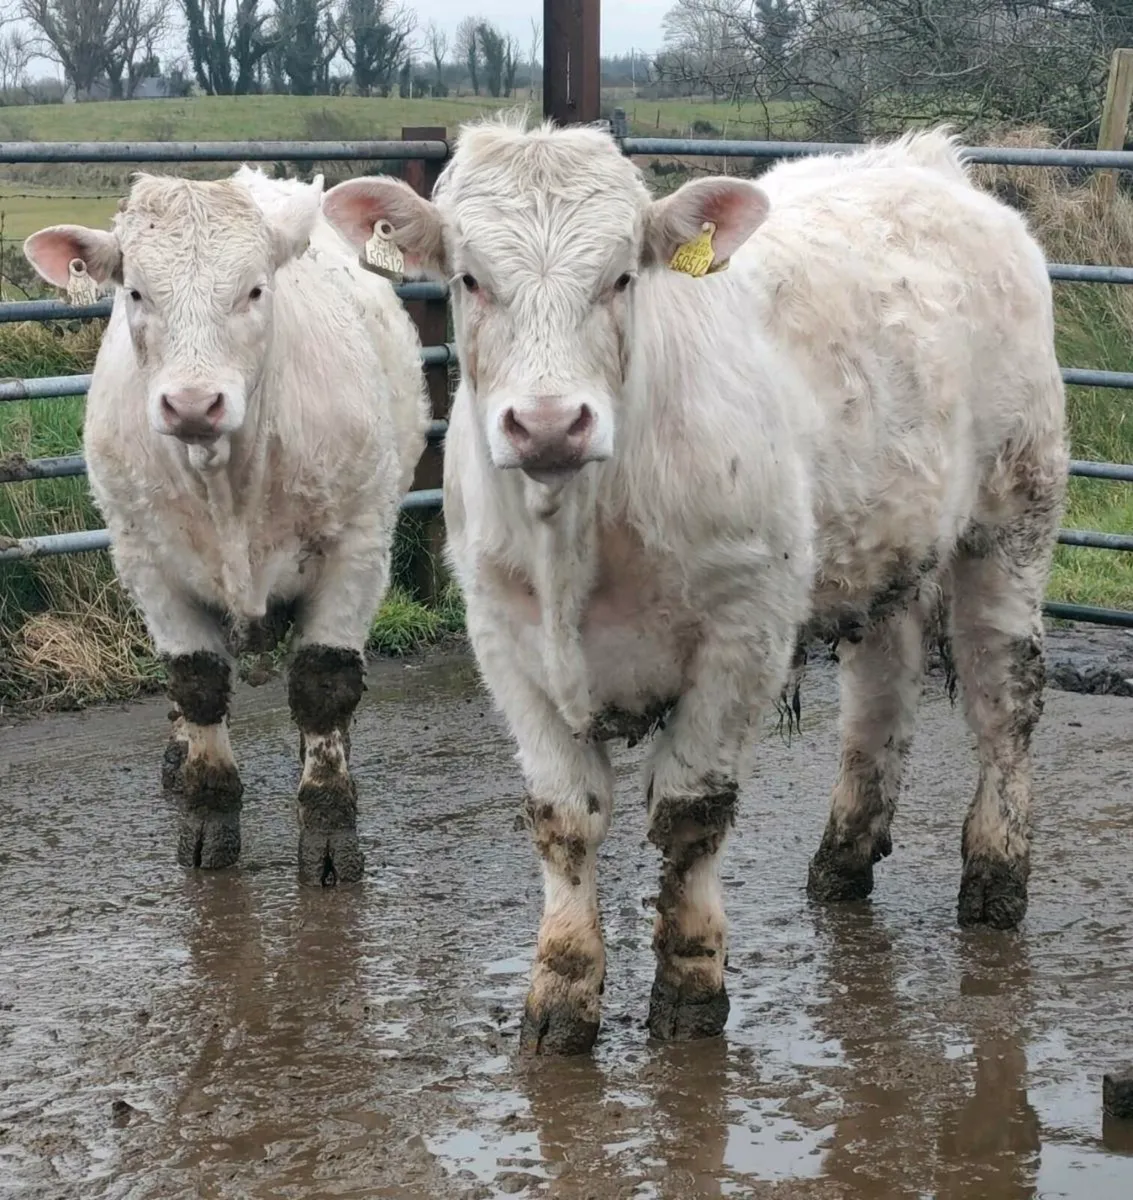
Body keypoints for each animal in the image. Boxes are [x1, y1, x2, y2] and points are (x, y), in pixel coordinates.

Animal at [23, 165, 430, 886]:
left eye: (254, 290)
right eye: (135, 291)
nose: (191, 403)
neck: (225, 482)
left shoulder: (357, 549)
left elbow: (324, 685)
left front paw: (329, 831)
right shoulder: (146, 562)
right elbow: (197, 685)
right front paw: (206, 817)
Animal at [321, 115, 1068, 1052]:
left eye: (620, 276)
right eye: (468, 278)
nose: (548, 424)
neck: (577, 534)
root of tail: (926, 163)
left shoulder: (743, 627)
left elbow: (691, 813)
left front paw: (688, 987)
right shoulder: (503, 637)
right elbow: (563, 819)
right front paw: (559, 996)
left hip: (1013, 513)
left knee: (1004, 700)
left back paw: (995, 877)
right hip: (880, 549)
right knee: (879, 700)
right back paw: (841, 861)